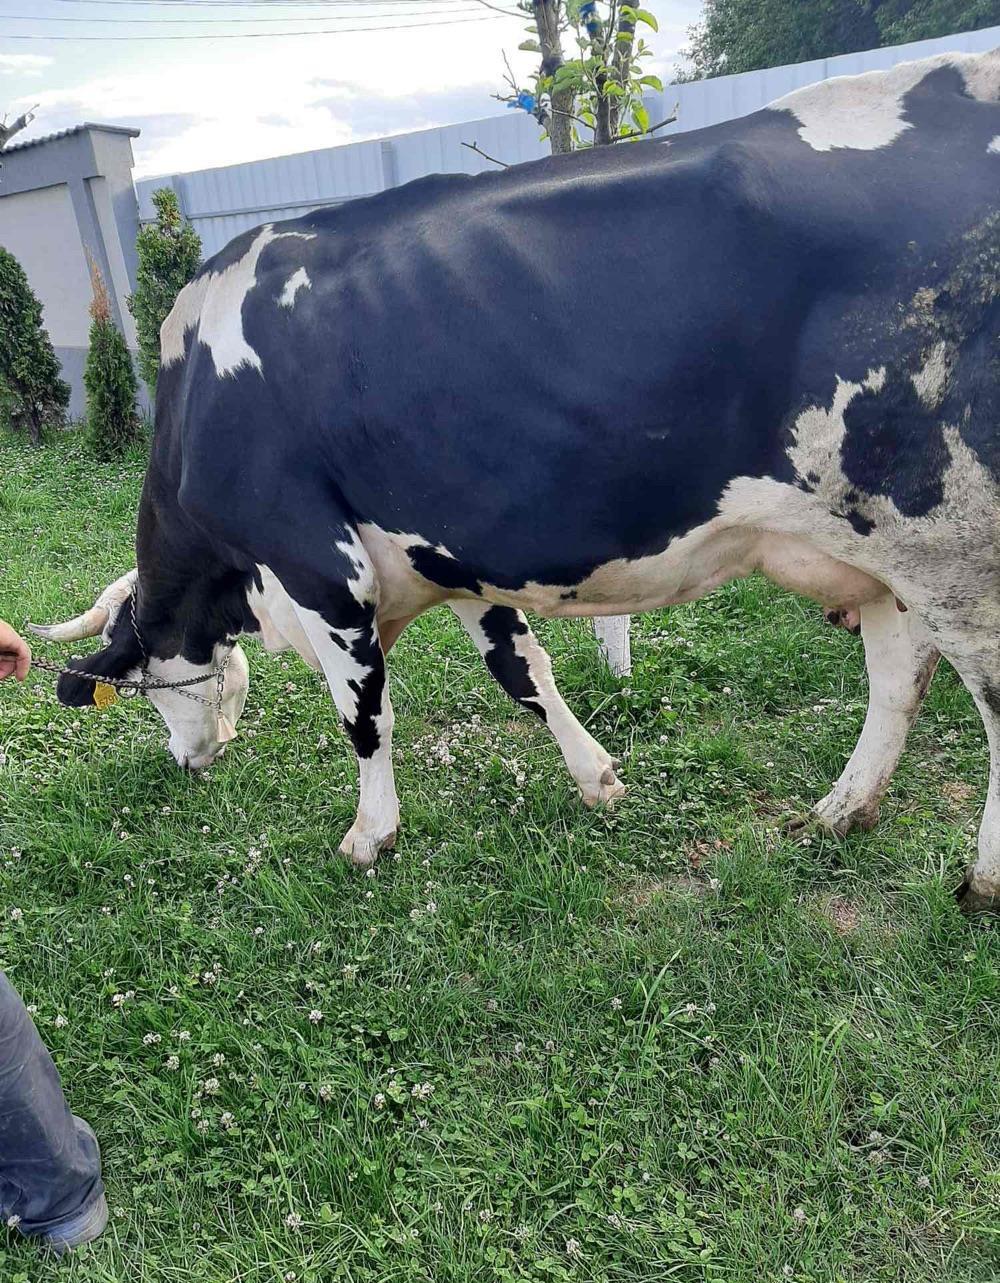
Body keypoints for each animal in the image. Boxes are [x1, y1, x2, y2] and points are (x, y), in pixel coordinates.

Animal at [32, 50, 999, 911]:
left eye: (148, 687)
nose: (187, 760)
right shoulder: (451, 558)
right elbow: (523, 671)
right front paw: (598, 776)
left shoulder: (321, 566)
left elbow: (365, 713)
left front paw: (370, 835)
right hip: (876, 539)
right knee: (901, 672)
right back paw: (839, 811)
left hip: (953, 543)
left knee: (983, 694)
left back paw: (979, 880)